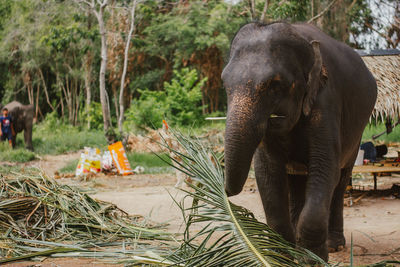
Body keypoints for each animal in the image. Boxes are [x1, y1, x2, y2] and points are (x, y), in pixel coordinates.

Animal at [222, 22, 378, 262]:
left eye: (275, 85)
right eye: (224, 83)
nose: (224, 192)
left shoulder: (326, 101)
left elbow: (325, 167)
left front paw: (314, 260)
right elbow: (267, 171)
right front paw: (280, 258)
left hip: (357, 136)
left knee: (341, 180)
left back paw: (334, 245)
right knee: (297, 179)